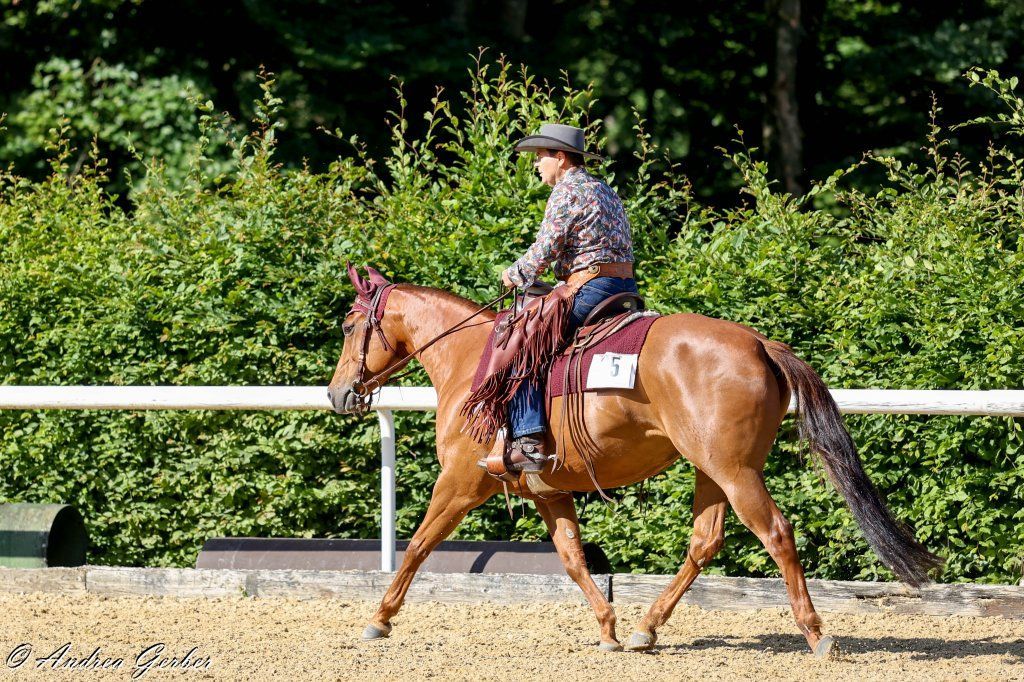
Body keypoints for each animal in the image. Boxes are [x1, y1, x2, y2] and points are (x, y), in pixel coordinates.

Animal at [327, 265, 942, 657]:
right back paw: (648, 628)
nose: (337, 394)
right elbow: (573, 559)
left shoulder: (457, 483)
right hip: (711, 471)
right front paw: (608, 628)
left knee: (775, 532)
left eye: (352, 326)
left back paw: (816, 633)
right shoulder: (550, 492)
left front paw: (378, 619)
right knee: (705, 541)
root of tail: (758, 344)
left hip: (735, 472)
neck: (471, 361)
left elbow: (417, 546)